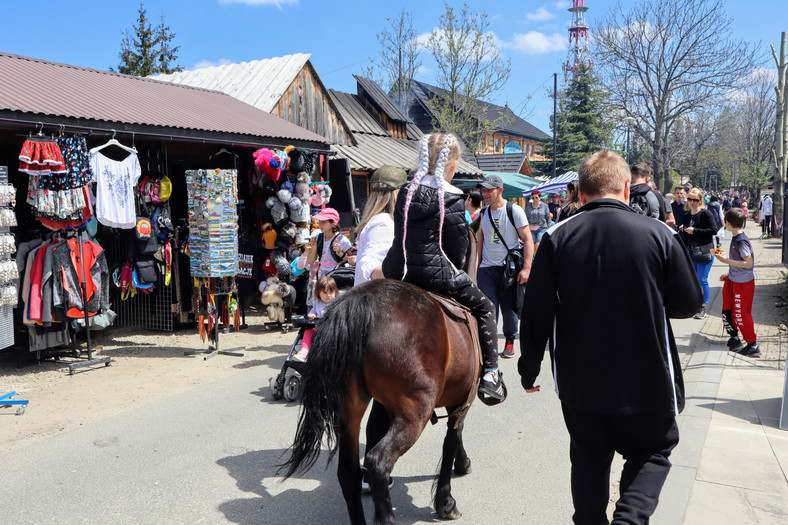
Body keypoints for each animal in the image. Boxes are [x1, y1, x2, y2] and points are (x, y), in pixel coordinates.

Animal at [280, 227, 484, 520]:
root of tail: (361, 302)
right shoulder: (463, 401)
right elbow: (451, 441)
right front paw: (446, 500)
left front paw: (462, 463)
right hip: (414, 413)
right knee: (378, 462)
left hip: (350, 410)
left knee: (349, 473)